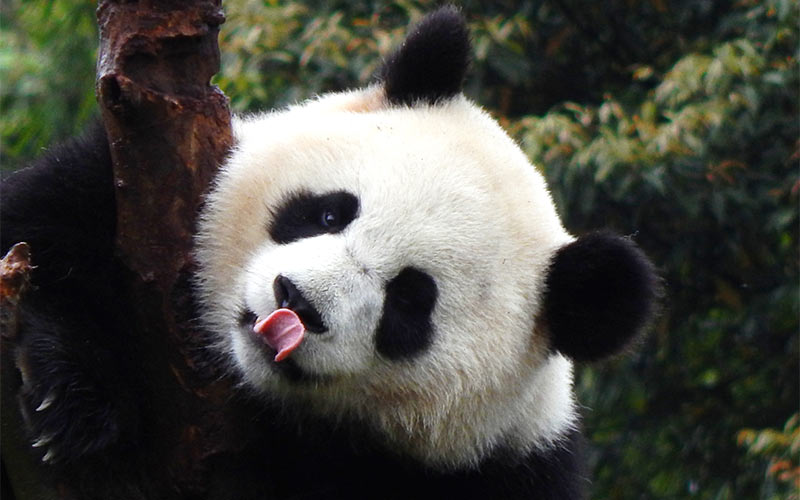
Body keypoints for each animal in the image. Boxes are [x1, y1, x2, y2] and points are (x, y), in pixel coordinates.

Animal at [1, 6, 657, 500]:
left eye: (409, 303)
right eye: (329, 213)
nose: (295, 302)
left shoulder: (500, 471)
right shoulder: (112, 188)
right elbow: (44, 227)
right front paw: (73, 400)